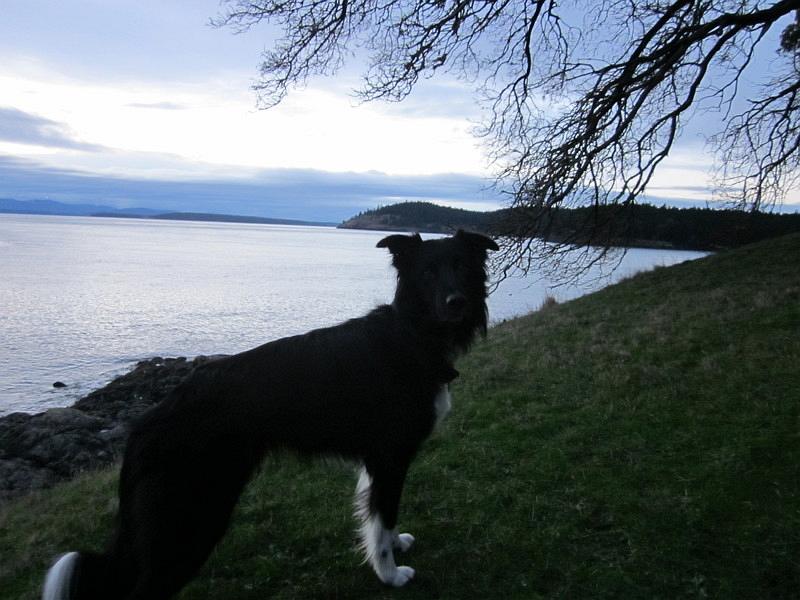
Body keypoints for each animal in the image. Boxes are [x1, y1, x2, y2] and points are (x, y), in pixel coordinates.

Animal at [43, 230, 496, 600]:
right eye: (428, 273)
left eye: (461, 266)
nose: (456, 302)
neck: (412, 335)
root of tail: (144, 423)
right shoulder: (390, 457)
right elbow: (382, 518)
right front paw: (391, 575)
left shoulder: (376, 463)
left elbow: (377, 519)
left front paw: (392, 546)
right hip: (193, 517)